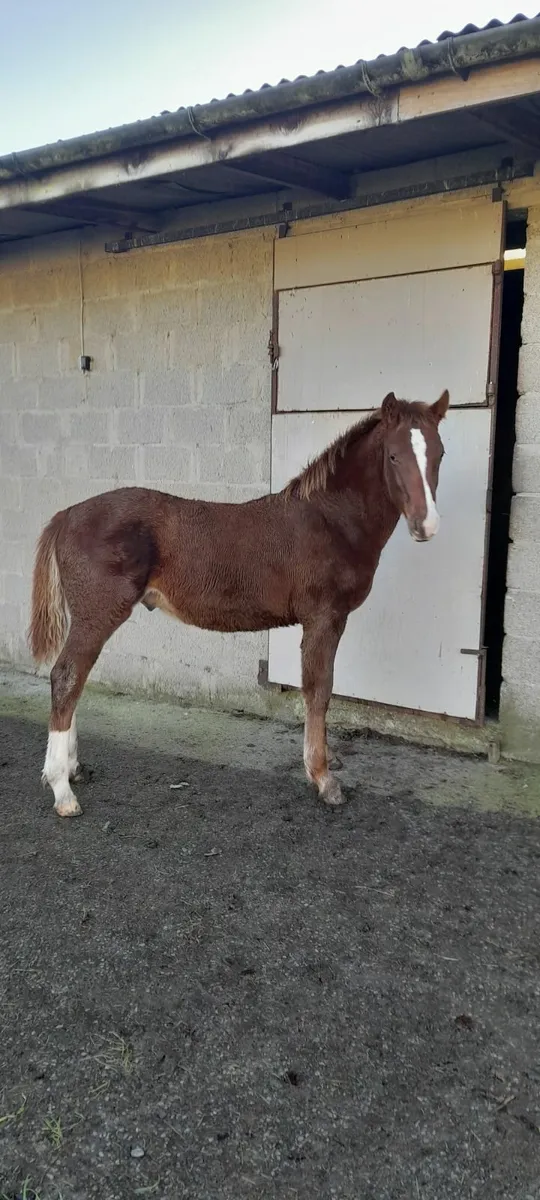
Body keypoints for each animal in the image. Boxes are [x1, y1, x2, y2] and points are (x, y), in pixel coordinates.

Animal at [29, 389, 449, 818]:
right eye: (394, 455)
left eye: (439, 452)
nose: (426, 525)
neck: (330, 519)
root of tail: (66, 515)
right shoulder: (324, 618)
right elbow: (319, 690)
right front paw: (323, 779)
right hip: (97, 615)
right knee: (66, 677)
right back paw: (62, 790)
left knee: (75, 679)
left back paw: (73, 770)